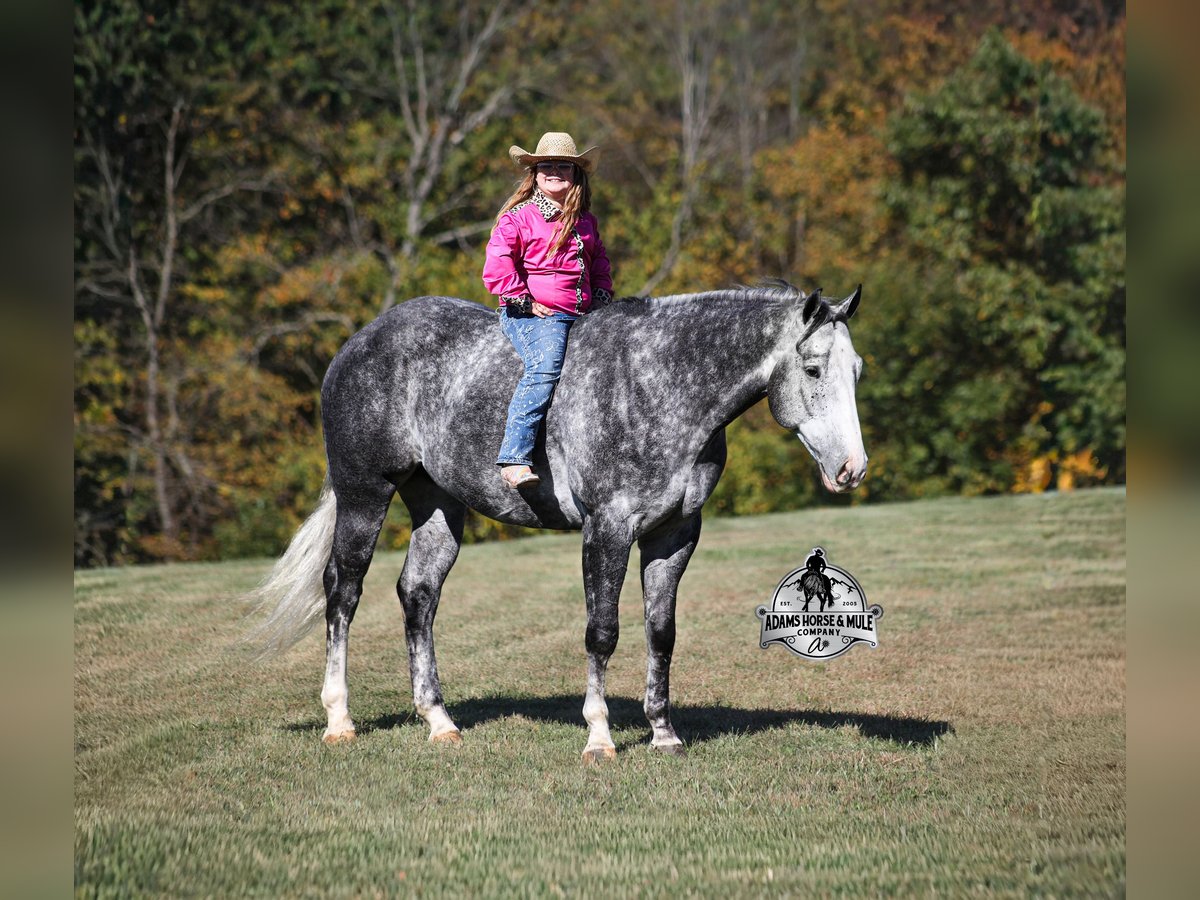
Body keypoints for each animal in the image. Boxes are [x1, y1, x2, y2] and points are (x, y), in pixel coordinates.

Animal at [248, 282, 867, 762]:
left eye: (856, 371)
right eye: (814, 368)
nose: (851, 469)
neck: (659, 386)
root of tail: (357, 344)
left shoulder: (674, 536)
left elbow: (661, 632)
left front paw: (664, 734)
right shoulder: (608, 529)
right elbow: (602, 632)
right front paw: (600, 738)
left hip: (438, 504)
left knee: (418, 595)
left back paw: (439, 722)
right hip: (365, 494)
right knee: (342, 591)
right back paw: (339, 721)